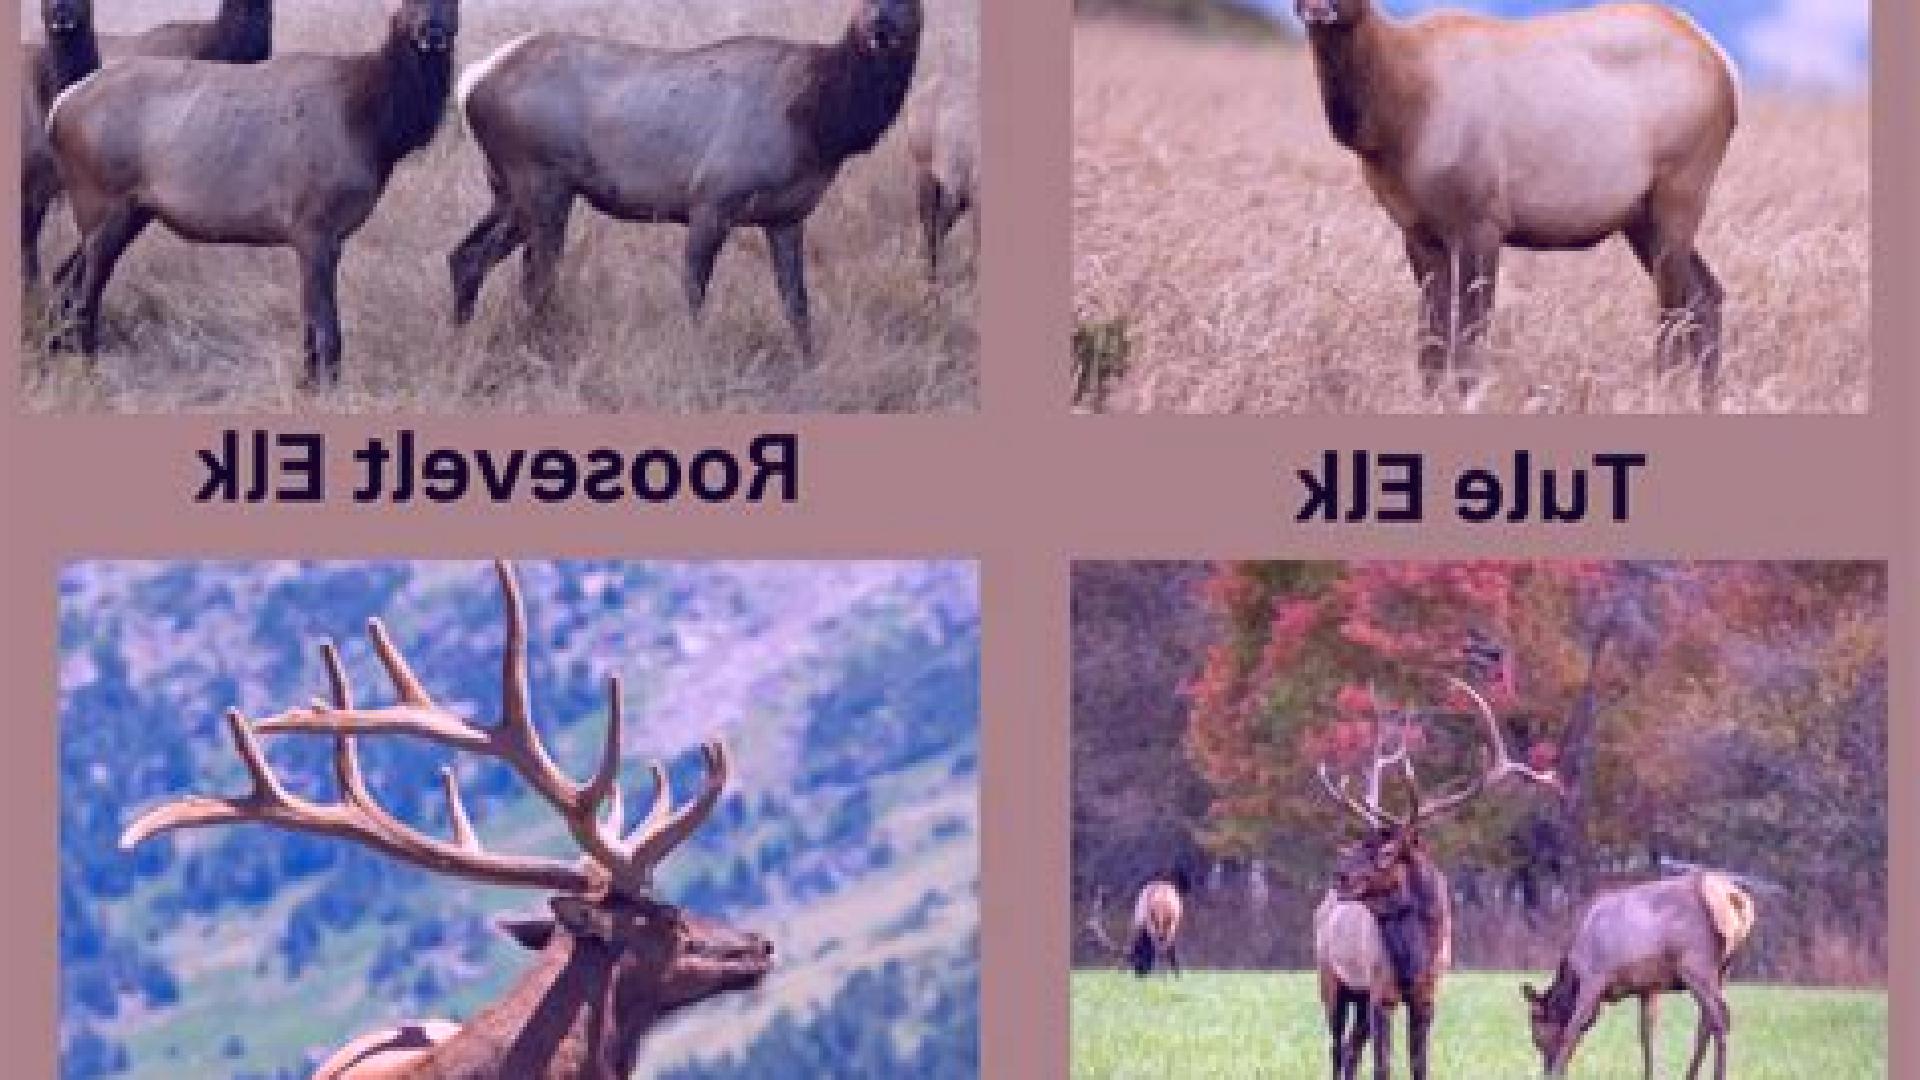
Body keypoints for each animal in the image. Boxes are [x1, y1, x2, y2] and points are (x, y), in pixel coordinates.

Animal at [45, 0, 459, 386]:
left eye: (453, 2)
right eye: (406, 2)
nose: (432, 28)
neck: (376, 128)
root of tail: (59, 107)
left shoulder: (323, 235)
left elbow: (311, 323)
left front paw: (307, 383)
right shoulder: (313, 223)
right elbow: (326, 328)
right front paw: (323, 386)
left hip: (131, 210)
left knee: (65, 278)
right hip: (101, 199)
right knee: (83, 292)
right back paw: (87, 369)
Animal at [448, 0, 922, 359]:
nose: (881, 24)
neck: (821, 124)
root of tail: (470, 81)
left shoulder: (787, 215)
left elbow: (796, 301)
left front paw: (810, 363)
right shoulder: (714, 197)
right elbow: (694, 284)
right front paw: (698, 353)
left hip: (507, 187)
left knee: (466, 256)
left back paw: (461, 337)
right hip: (540, 178)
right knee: (534, 275)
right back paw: (538, 345)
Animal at [1295, 0, 1739, 407]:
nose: (1317, 7)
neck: (1399, 112)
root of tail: (1724, 65)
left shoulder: (1480, 223)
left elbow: (1469, 339)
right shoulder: (1418, 232)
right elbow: (1431, 343)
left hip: (1678, 195)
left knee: (1674, 310)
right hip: (1641, 219)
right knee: (1706, 295)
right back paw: (1707, 398)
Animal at [1313, 676, 1562, 1080]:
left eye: (1386, 852)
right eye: (1361, 842)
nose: (1340, 876)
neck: (1413, 954)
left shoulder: (1427, 994)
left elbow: (1420, 1064)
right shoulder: (1381, 990)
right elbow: (1383, 1066)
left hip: (1360, 993)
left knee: (1351, 1048)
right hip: (1332, 979)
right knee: (1336, 1047)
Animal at [1523, 871, 1756, 1080]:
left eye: (1534, 1021)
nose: (1546, 1069)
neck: (1575, 973)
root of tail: (1734, 899)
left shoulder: (1595, 977)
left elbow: (1573, 1028)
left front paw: (1557, 1073)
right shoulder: (1649, 987)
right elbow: (1646, 1036)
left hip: (1695, 965)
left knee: (1721, 1017)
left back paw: (1718, 1075)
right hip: (1722, 970)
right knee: (1706, 1022)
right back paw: (1690, 1075)